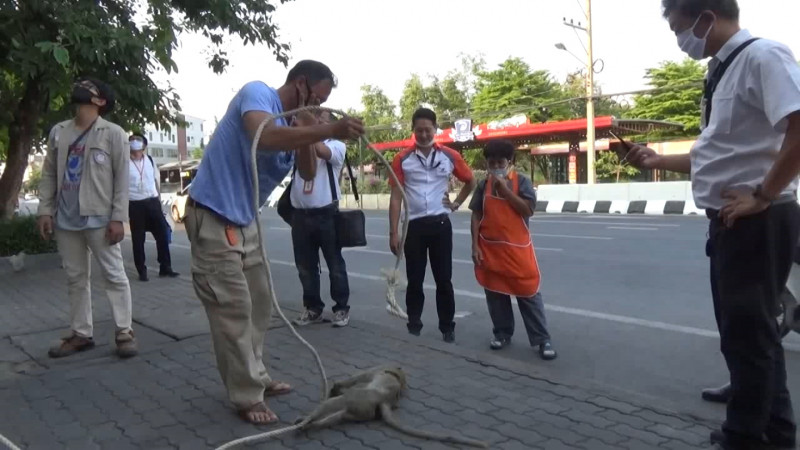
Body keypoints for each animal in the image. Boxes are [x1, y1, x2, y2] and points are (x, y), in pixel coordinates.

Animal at [296, 364, 488, 448]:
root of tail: (384, 401)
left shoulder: (372, 372)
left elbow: (355, 379)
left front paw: (337, 386)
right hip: (362, 410)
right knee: (341, 415)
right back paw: (311, 425)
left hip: (359, 399)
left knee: (337, 403)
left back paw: (308, 421)